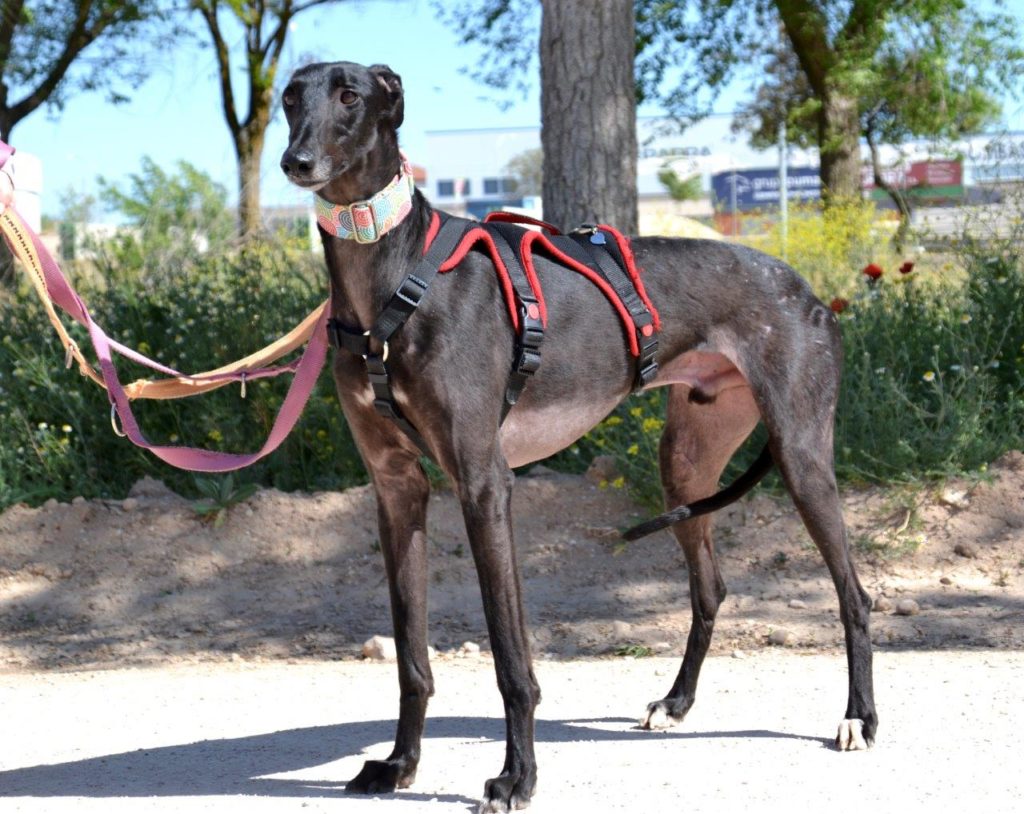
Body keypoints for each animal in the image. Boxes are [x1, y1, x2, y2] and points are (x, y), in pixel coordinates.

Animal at [282, 62, 880, 814]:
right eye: (290, 98)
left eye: (351, 94)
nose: (296, 161)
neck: (391, 279)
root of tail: (810, 292)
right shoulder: (395, 489)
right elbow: (411, 658)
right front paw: (398, 766)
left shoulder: (484, 484)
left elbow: (512, 660)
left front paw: (517, 778)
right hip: (685, 462)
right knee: (710, 587)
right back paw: (676, 704)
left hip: (802, 455)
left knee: (854, 594)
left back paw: (859, 718)